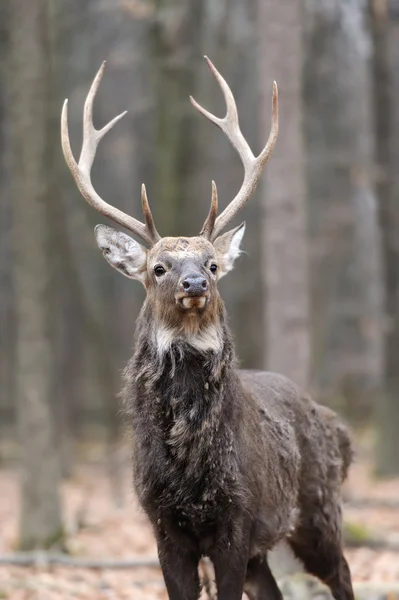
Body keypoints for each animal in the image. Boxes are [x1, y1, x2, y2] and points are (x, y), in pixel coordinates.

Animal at [61, 56, 354, 600]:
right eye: (158, 267)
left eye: (213, 264)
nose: (194, 281)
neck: (191, 471)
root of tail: (334, 425)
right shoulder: (161, 524)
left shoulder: (238, 517)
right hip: (270, 543)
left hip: (318, 507)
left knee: (342, 573)